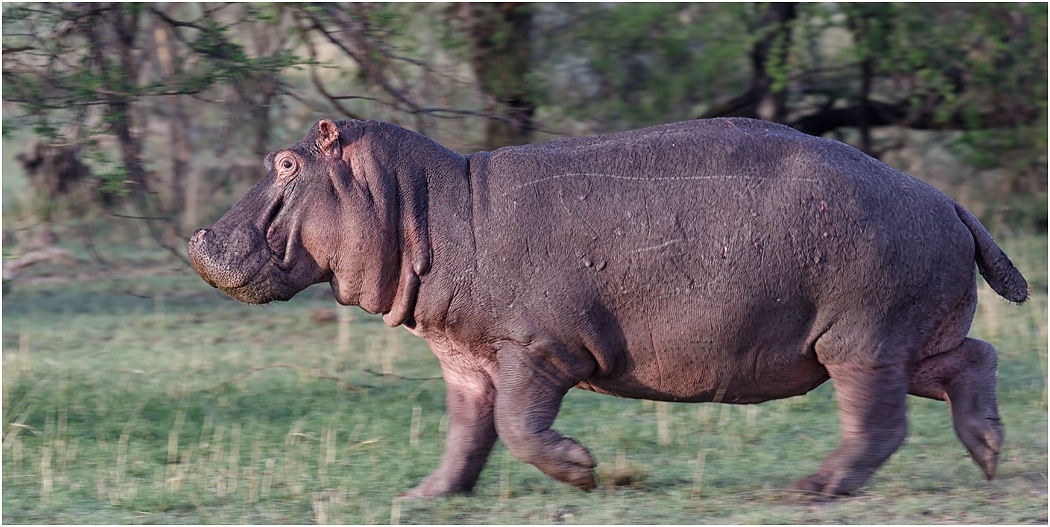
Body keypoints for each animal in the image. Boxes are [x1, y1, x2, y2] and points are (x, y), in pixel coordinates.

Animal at [188, 117, 1028, 498]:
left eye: (285, 162)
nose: (198, 235)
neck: (422, 204)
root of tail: (947, 199)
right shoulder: (463, 357)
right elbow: (466, 432)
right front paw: (424, 495)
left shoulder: (536, 347)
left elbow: (518, 425)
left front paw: (587, 473)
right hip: (898, 339)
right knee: (973, 360)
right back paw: (988, 453)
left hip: (859, 340)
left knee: (877, 421)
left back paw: (812, 489)